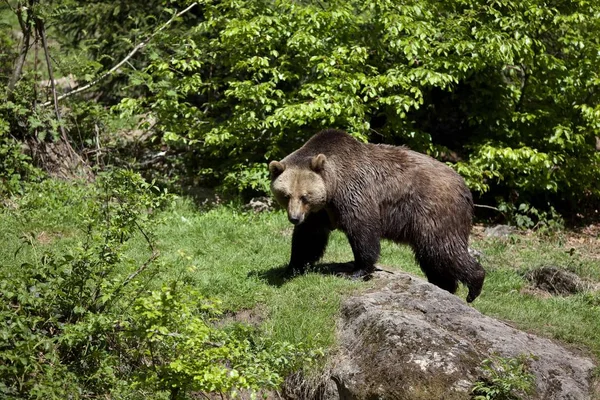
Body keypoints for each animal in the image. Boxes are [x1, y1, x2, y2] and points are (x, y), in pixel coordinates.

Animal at [270, 130, 486, 302]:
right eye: (286, 195)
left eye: (305, 196)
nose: (294, 218)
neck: (333, 186)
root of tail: (465, 187)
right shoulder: (319, 211)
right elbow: (308, 238)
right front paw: (291, 267)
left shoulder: (355, 193)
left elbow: (363, 231)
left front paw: (356, 271)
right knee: (431, 256)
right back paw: (444, 286)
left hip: (434, 211)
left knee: (443, 248)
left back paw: (474, 286)